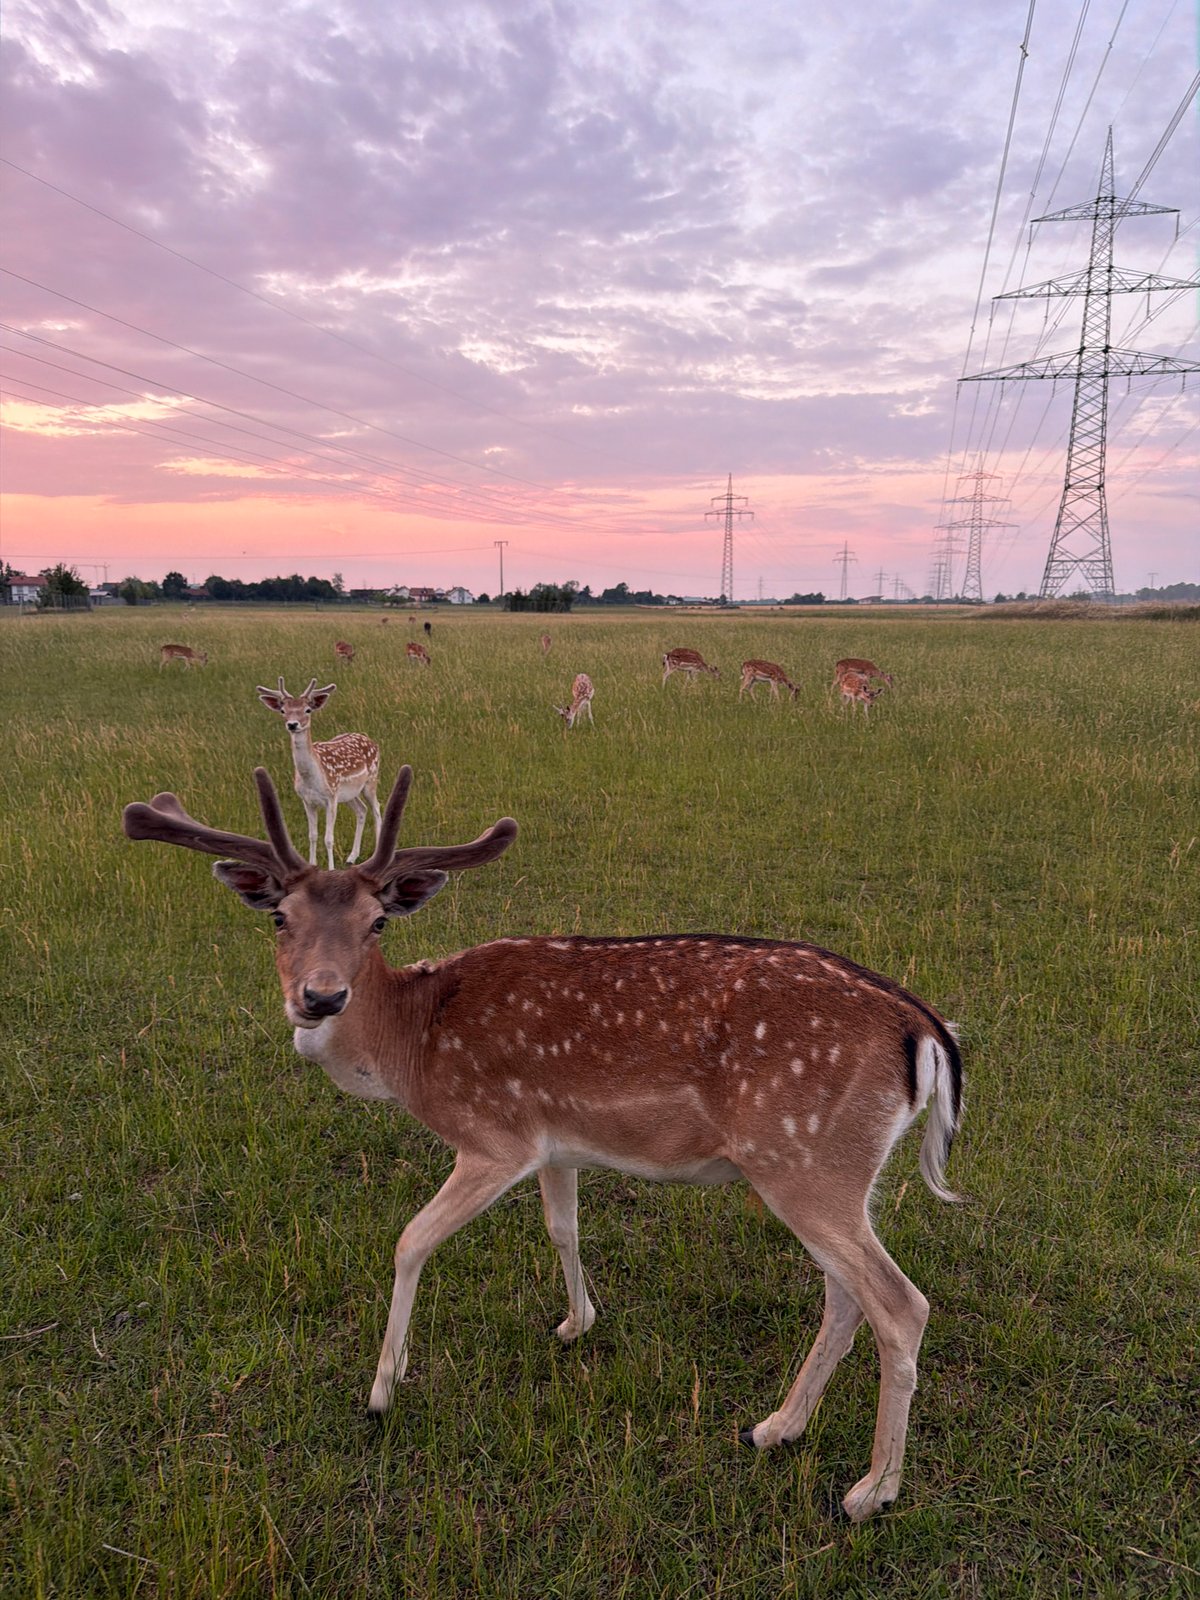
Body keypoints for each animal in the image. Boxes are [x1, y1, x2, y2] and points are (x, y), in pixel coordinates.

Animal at [121, 763, 964, 1524]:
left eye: (377, 922)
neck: (411, 1047)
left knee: (901, 1304)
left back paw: (871, 1491)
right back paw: (777, 1427)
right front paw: (576, 1322)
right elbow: (563, 1226)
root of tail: (924, 1028)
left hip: (806, 1164)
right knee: (845, 1295)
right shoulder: (559, 1145)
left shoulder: (496, 1136)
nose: (321, 997)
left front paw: (383, 1389)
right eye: (279, 918)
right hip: (832, 1172)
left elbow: (411, 1240)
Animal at [256, 678, 382, 869]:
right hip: (349, 794)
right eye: (283, 711)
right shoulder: (307, 800)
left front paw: (330, 869)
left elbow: (328, 838)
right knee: (362, 810)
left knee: (377, 809)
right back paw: (352, 857)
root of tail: (371, 741)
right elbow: (313, 836)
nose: (292, 724)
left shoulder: (330, 798)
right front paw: (312, 865)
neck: (311, 778)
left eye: (307, 710)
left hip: (370, 781)